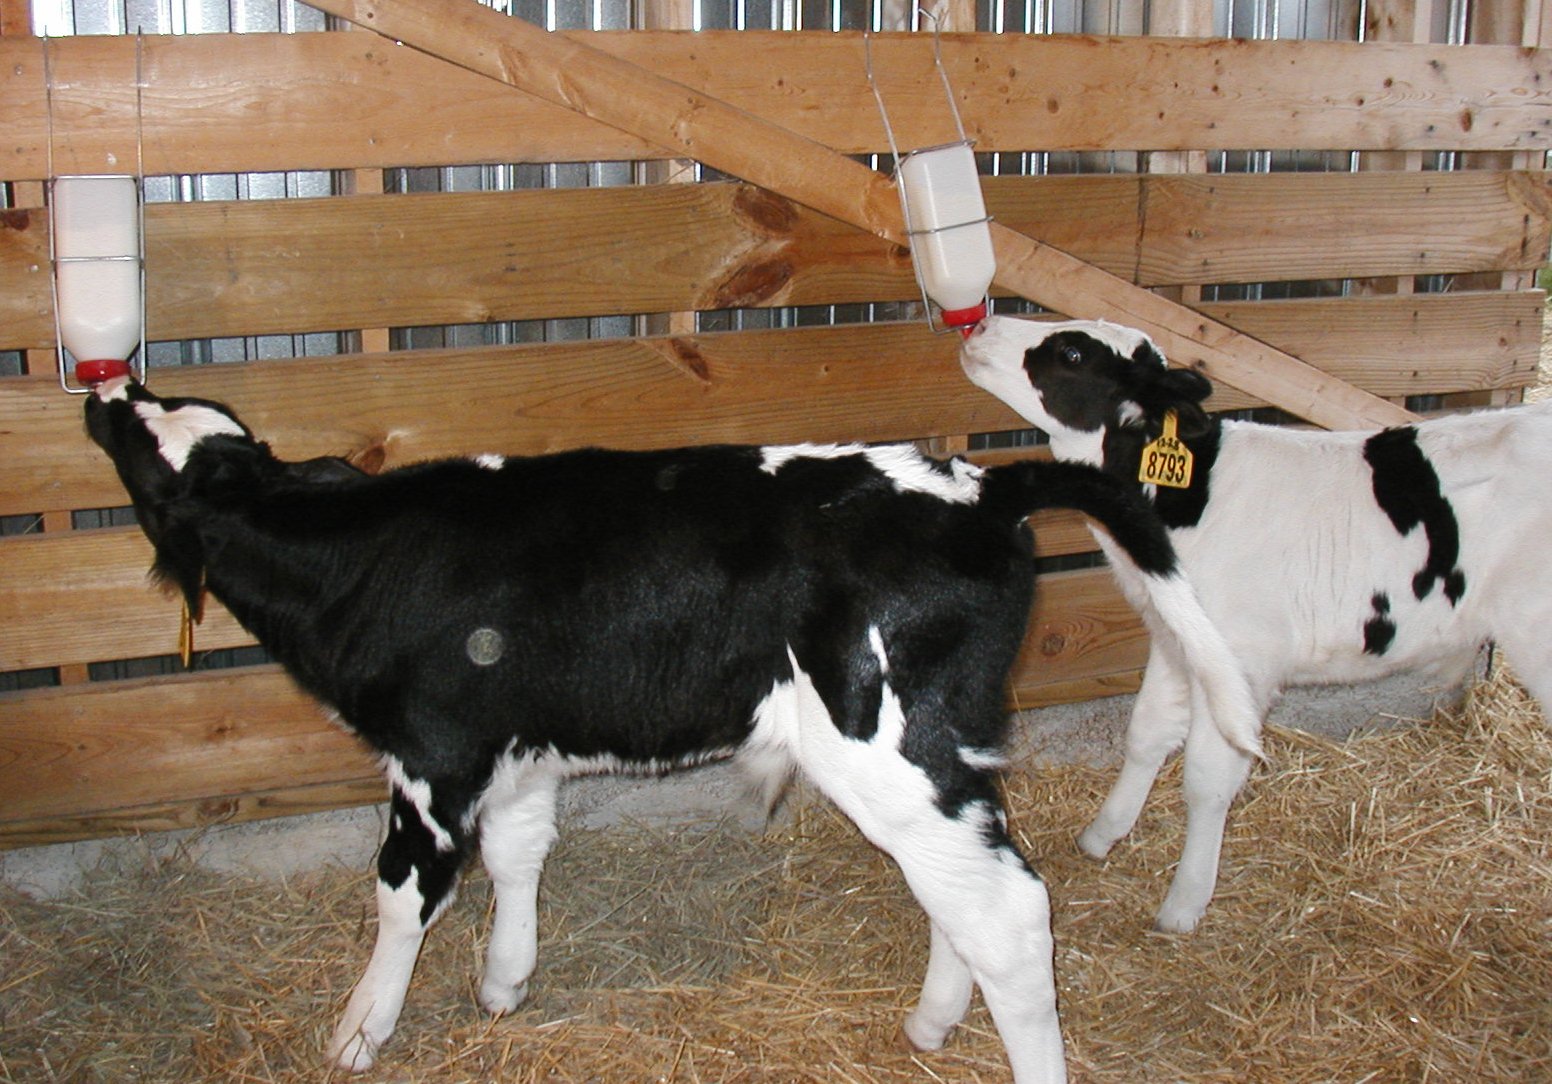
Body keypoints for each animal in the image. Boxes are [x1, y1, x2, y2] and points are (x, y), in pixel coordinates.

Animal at [956, 312, 1552, 931]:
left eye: (1072, 353)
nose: (980, 323)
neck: (1190, 499)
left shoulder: (1240, 660)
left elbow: (1207, 778)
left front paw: (1185, 902)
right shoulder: (1177, 639)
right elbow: (1146, 734)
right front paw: (1103, 834)